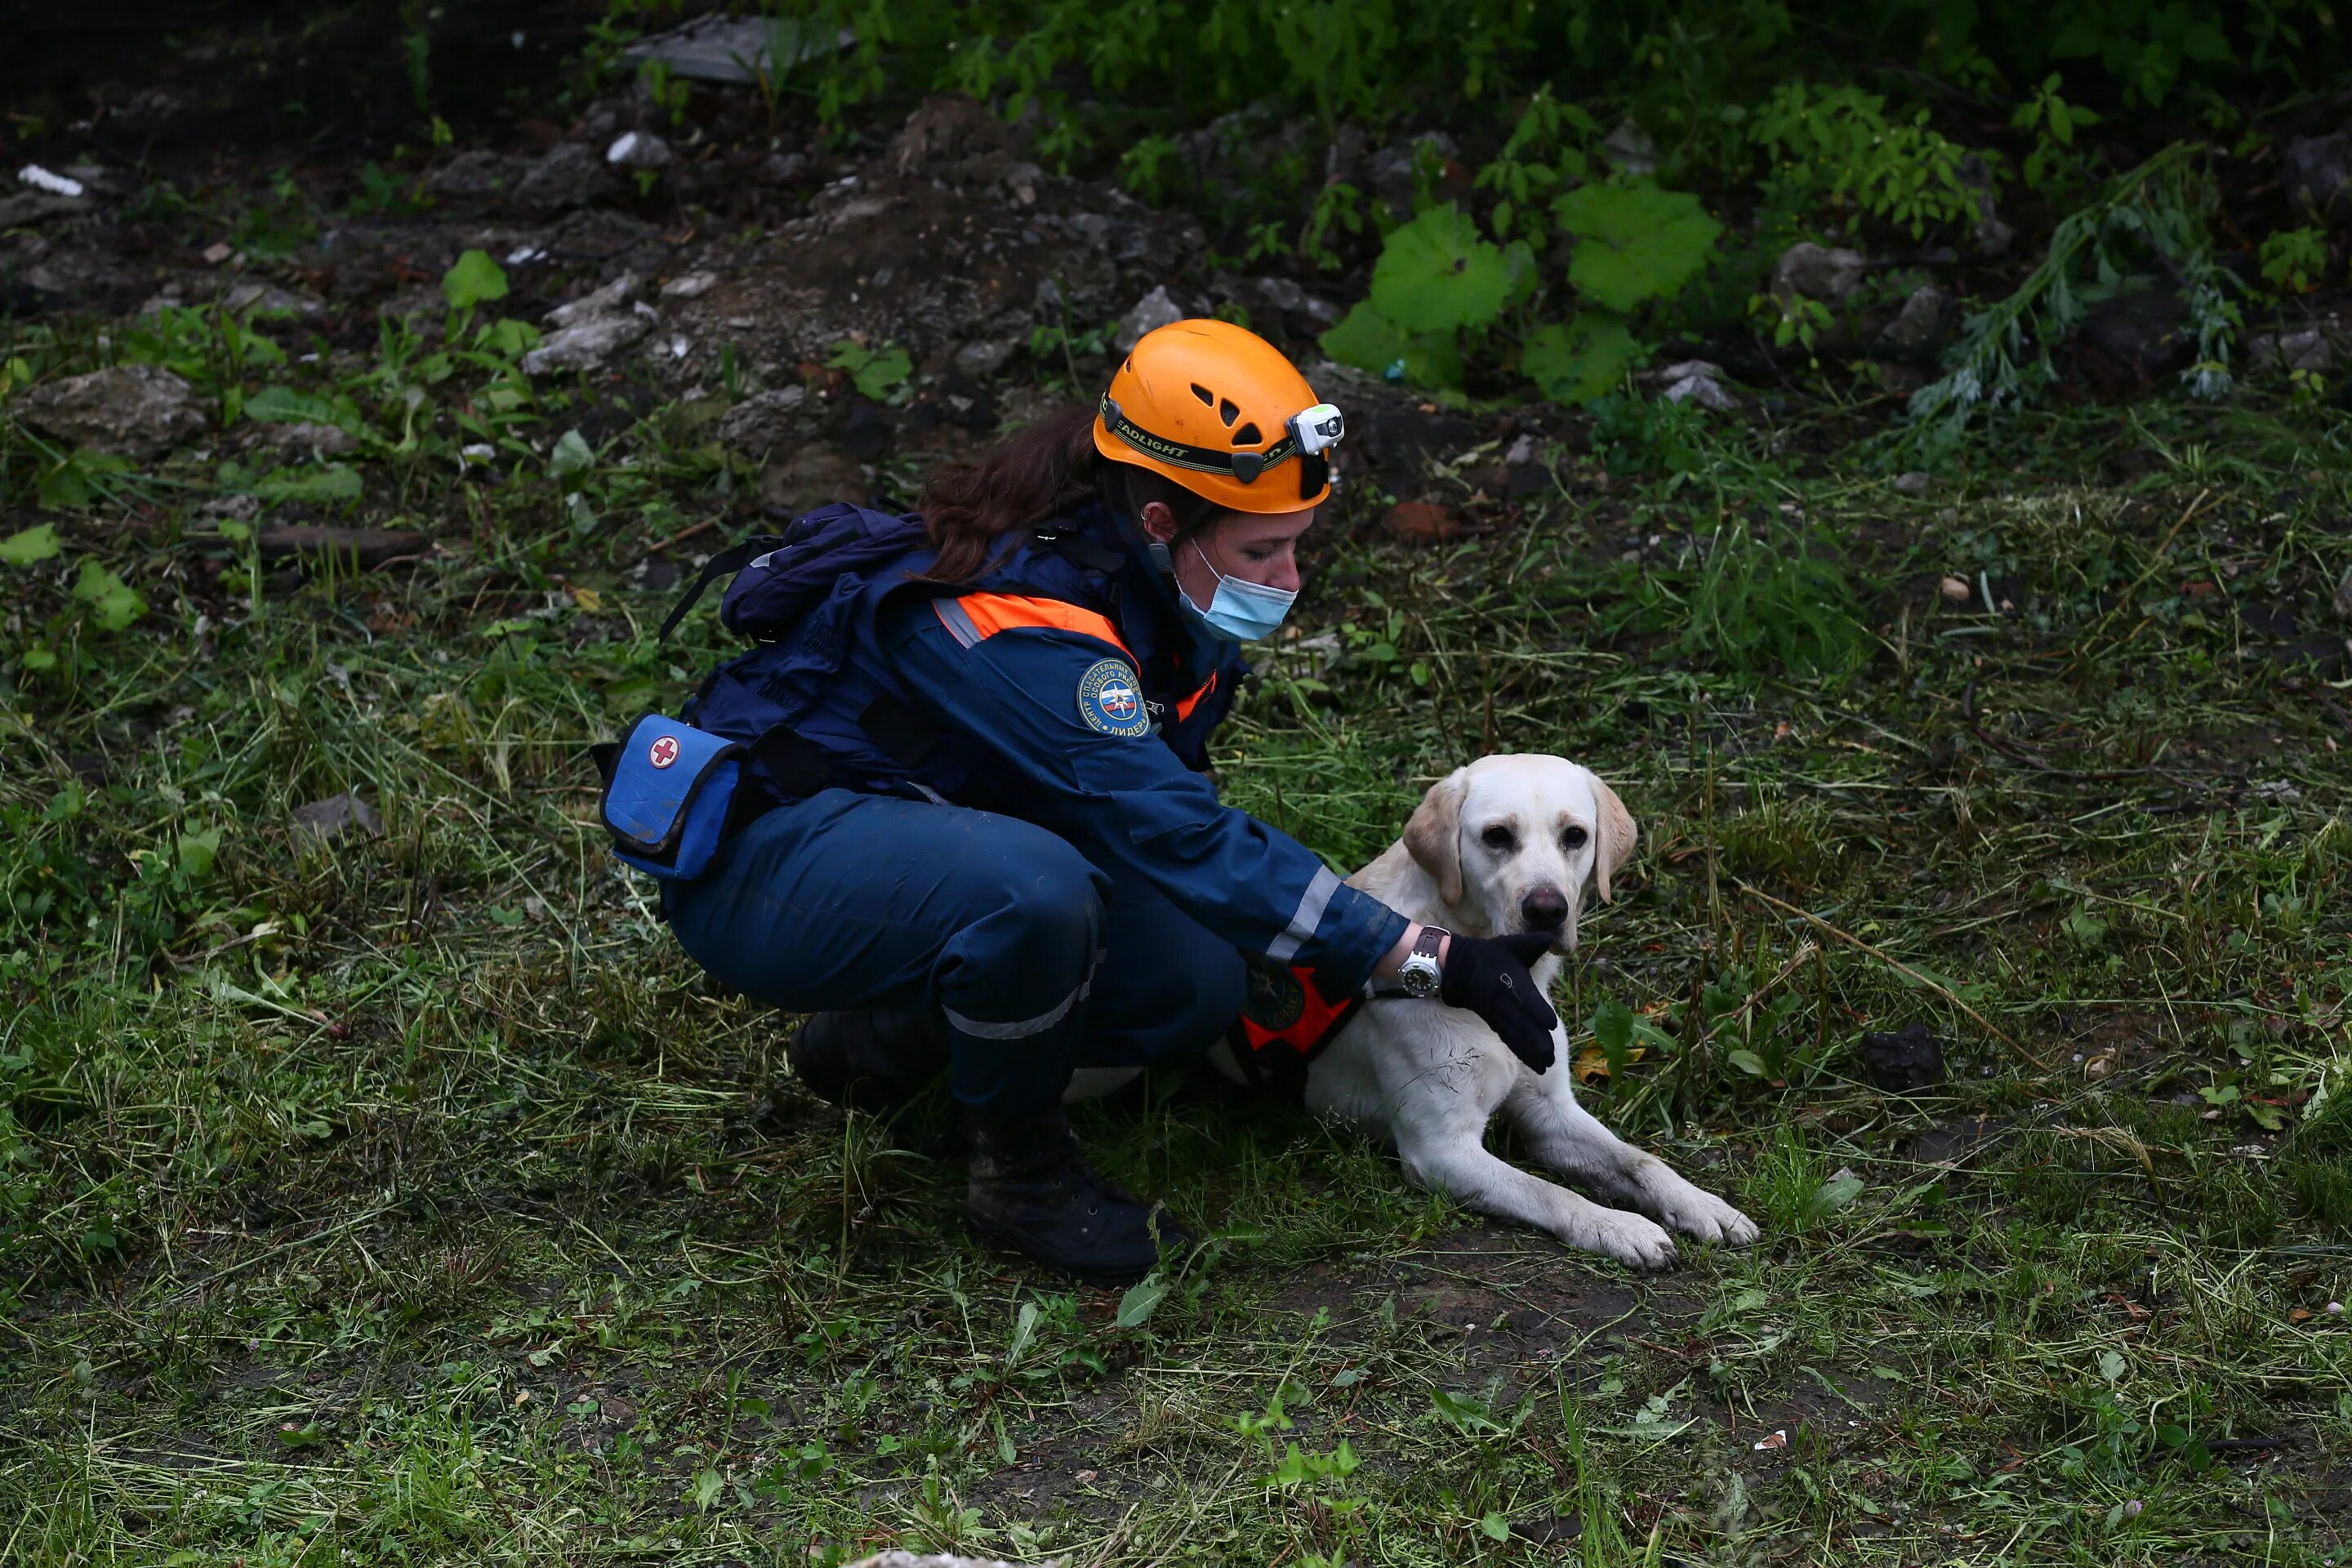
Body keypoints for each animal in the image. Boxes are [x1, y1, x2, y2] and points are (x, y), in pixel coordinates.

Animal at [1077, 756, 1759, 1278]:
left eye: (1575, 836)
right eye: (1496, 836)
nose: (1547, 909)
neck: (1493, 979)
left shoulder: (1550, 1115)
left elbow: (1641, 1161)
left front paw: (1702, 1205)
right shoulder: (1441, 1150)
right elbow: (1551, 1191)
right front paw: (1620, 1227)